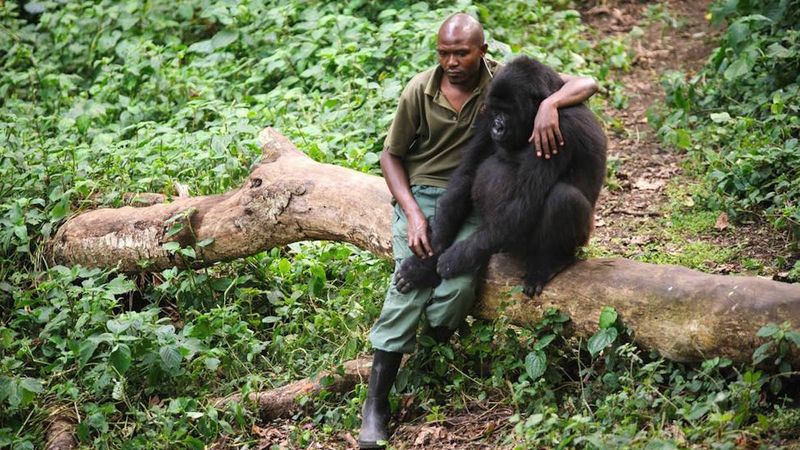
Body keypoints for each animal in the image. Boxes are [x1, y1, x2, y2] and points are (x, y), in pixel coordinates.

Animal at [394, 55, 608, 296]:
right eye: (496, 111)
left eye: (507, 111)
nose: (497, 127)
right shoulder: (485, 114)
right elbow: (467, 175)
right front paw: (425, 264)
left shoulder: (558, 125)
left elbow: (524, 201)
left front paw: (456, 259)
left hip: (578, 240)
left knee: (563, 197)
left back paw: (551, 261)